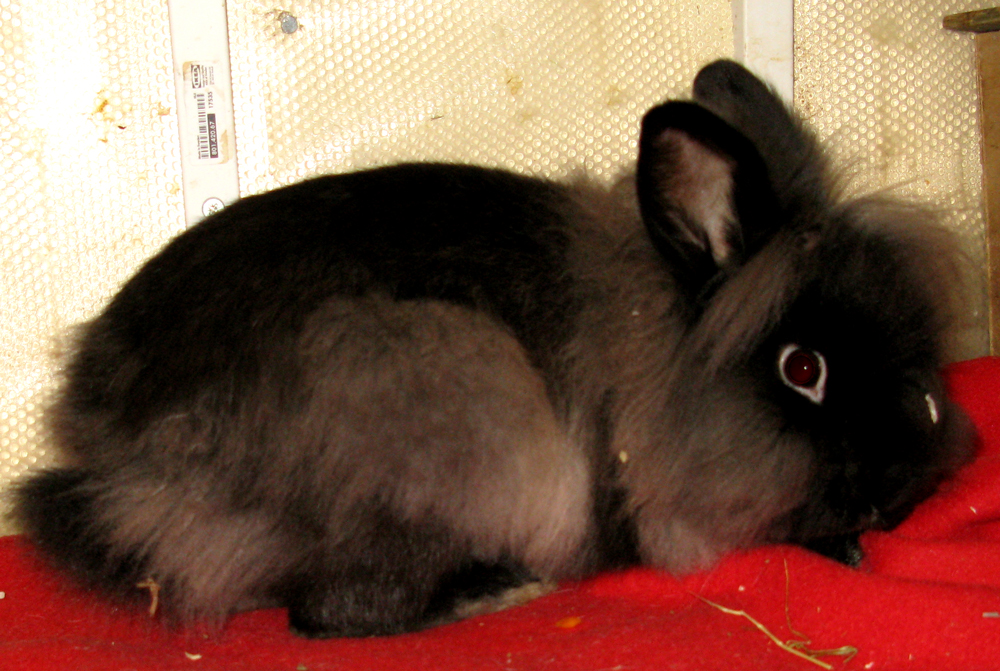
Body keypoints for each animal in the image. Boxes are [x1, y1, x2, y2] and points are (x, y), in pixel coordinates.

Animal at [13, 59, 974, 638]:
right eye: (802, 369)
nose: (909, 479)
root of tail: (112, 454)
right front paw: (847, 549)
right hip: (435, 376)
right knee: (331, 609)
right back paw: (499, 587)